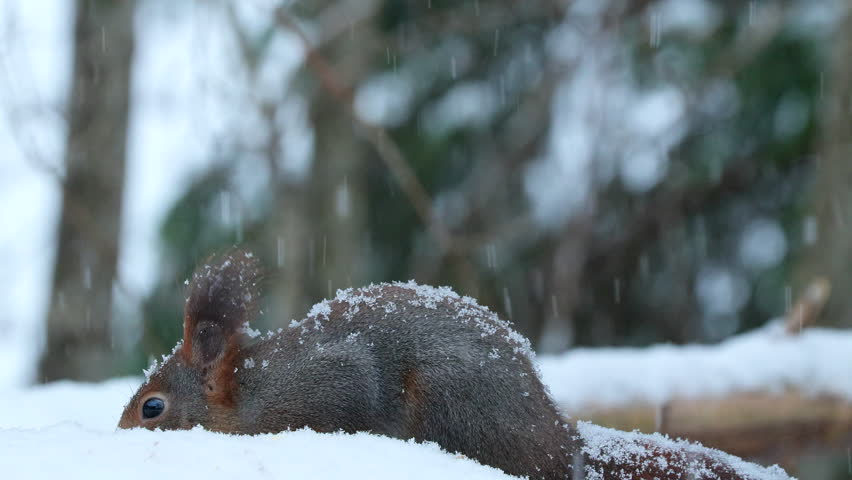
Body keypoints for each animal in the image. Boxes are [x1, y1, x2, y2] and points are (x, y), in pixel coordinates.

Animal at [119, 250, 792, 480]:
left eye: (153, 407)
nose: (121, 436)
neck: (248, 393)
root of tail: (562, 441)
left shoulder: (328, 382)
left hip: (456, 403)